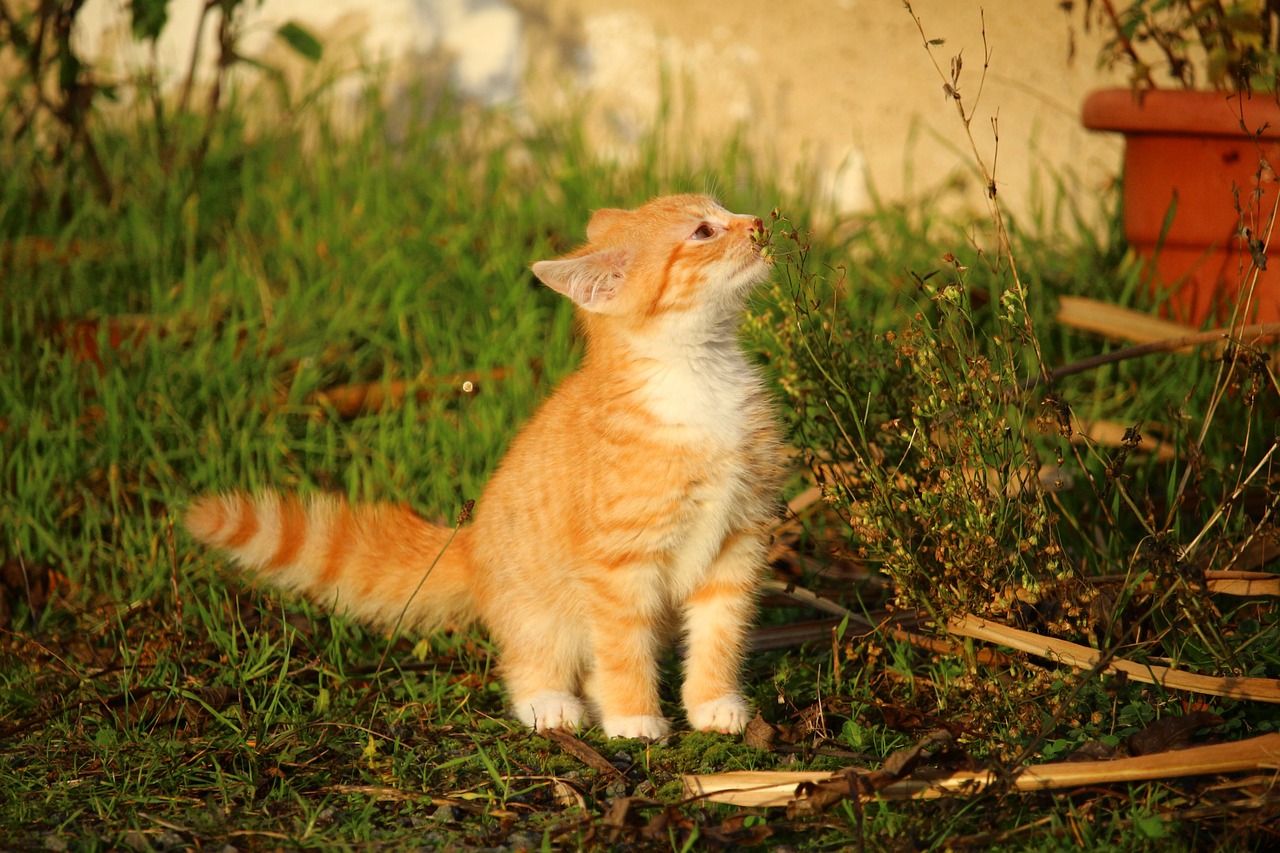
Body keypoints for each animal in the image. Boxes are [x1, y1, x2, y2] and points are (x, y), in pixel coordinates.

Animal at [185, 189, 783, 732]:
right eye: (703, 231)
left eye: (724, 208)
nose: (757, 221)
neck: (698, 377)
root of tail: (470, 543)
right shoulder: (619, 564)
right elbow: (621, 645)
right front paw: (634, 718)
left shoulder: (737, 539)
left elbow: (720, 632)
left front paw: (712, 702)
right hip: (538, 610)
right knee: (532, 657)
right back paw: (550, 702)